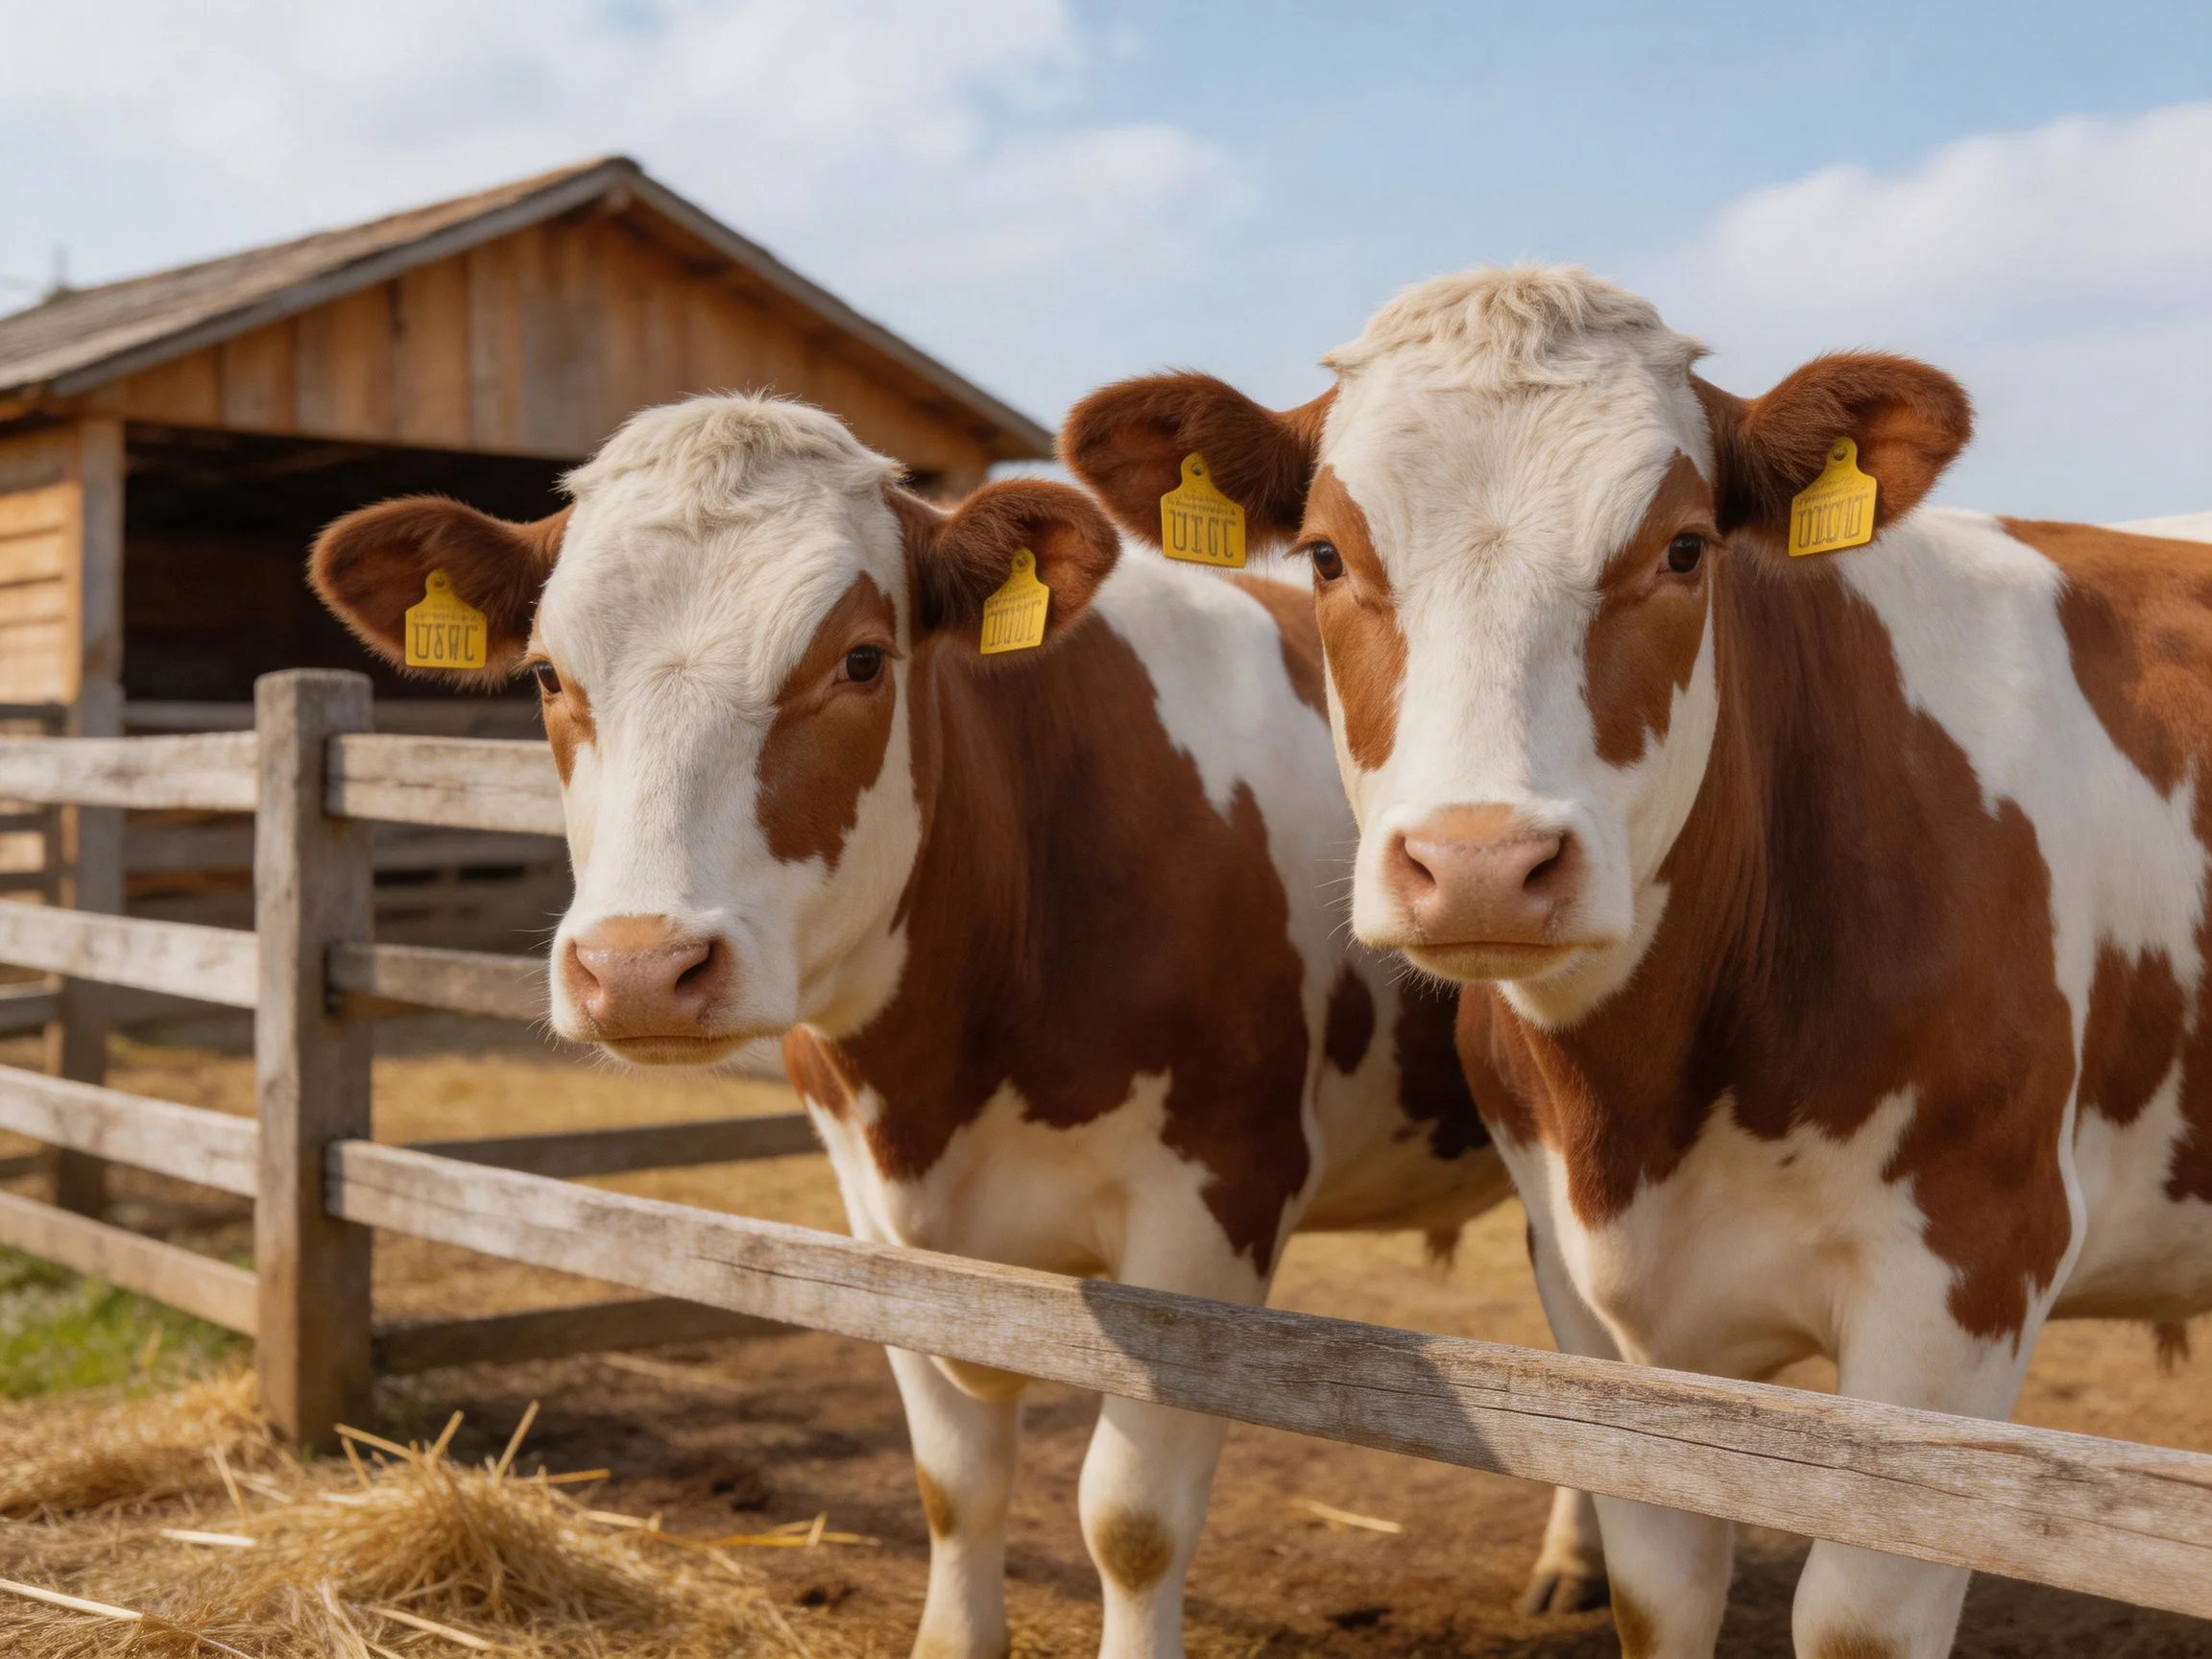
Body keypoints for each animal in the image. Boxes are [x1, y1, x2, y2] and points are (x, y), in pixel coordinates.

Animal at [305, 394, 1604, 1659]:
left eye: (862, 659)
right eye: (545, 675)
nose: (637, 968)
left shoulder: (1219, 1200)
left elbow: (1131, 1521)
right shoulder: (874, 1213)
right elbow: (955, 1482)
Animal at [1062, 266, 2212, 1659]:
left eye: (1683, 549)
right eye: (1328, 554)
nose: (1483, 860)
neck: (1648, 1103)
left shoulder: (1971, 1267)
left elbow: (1856, 1619)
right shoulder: (1592, 1293)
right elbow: (1660, 1587)